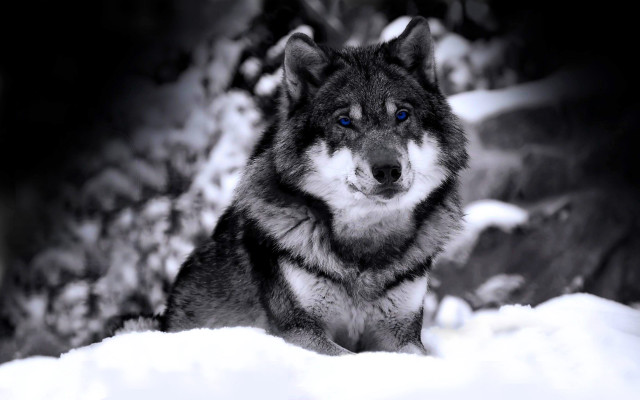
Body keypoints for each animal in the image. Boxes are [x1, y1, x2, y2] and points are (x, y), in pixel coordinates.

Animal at [162, 17, 468, 355]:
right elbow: (347, 357)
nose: (388, 170)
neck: (365, 249)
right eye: (345, 121)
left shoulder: (403, 334)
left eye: (401, 115)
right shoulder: (298, 331)